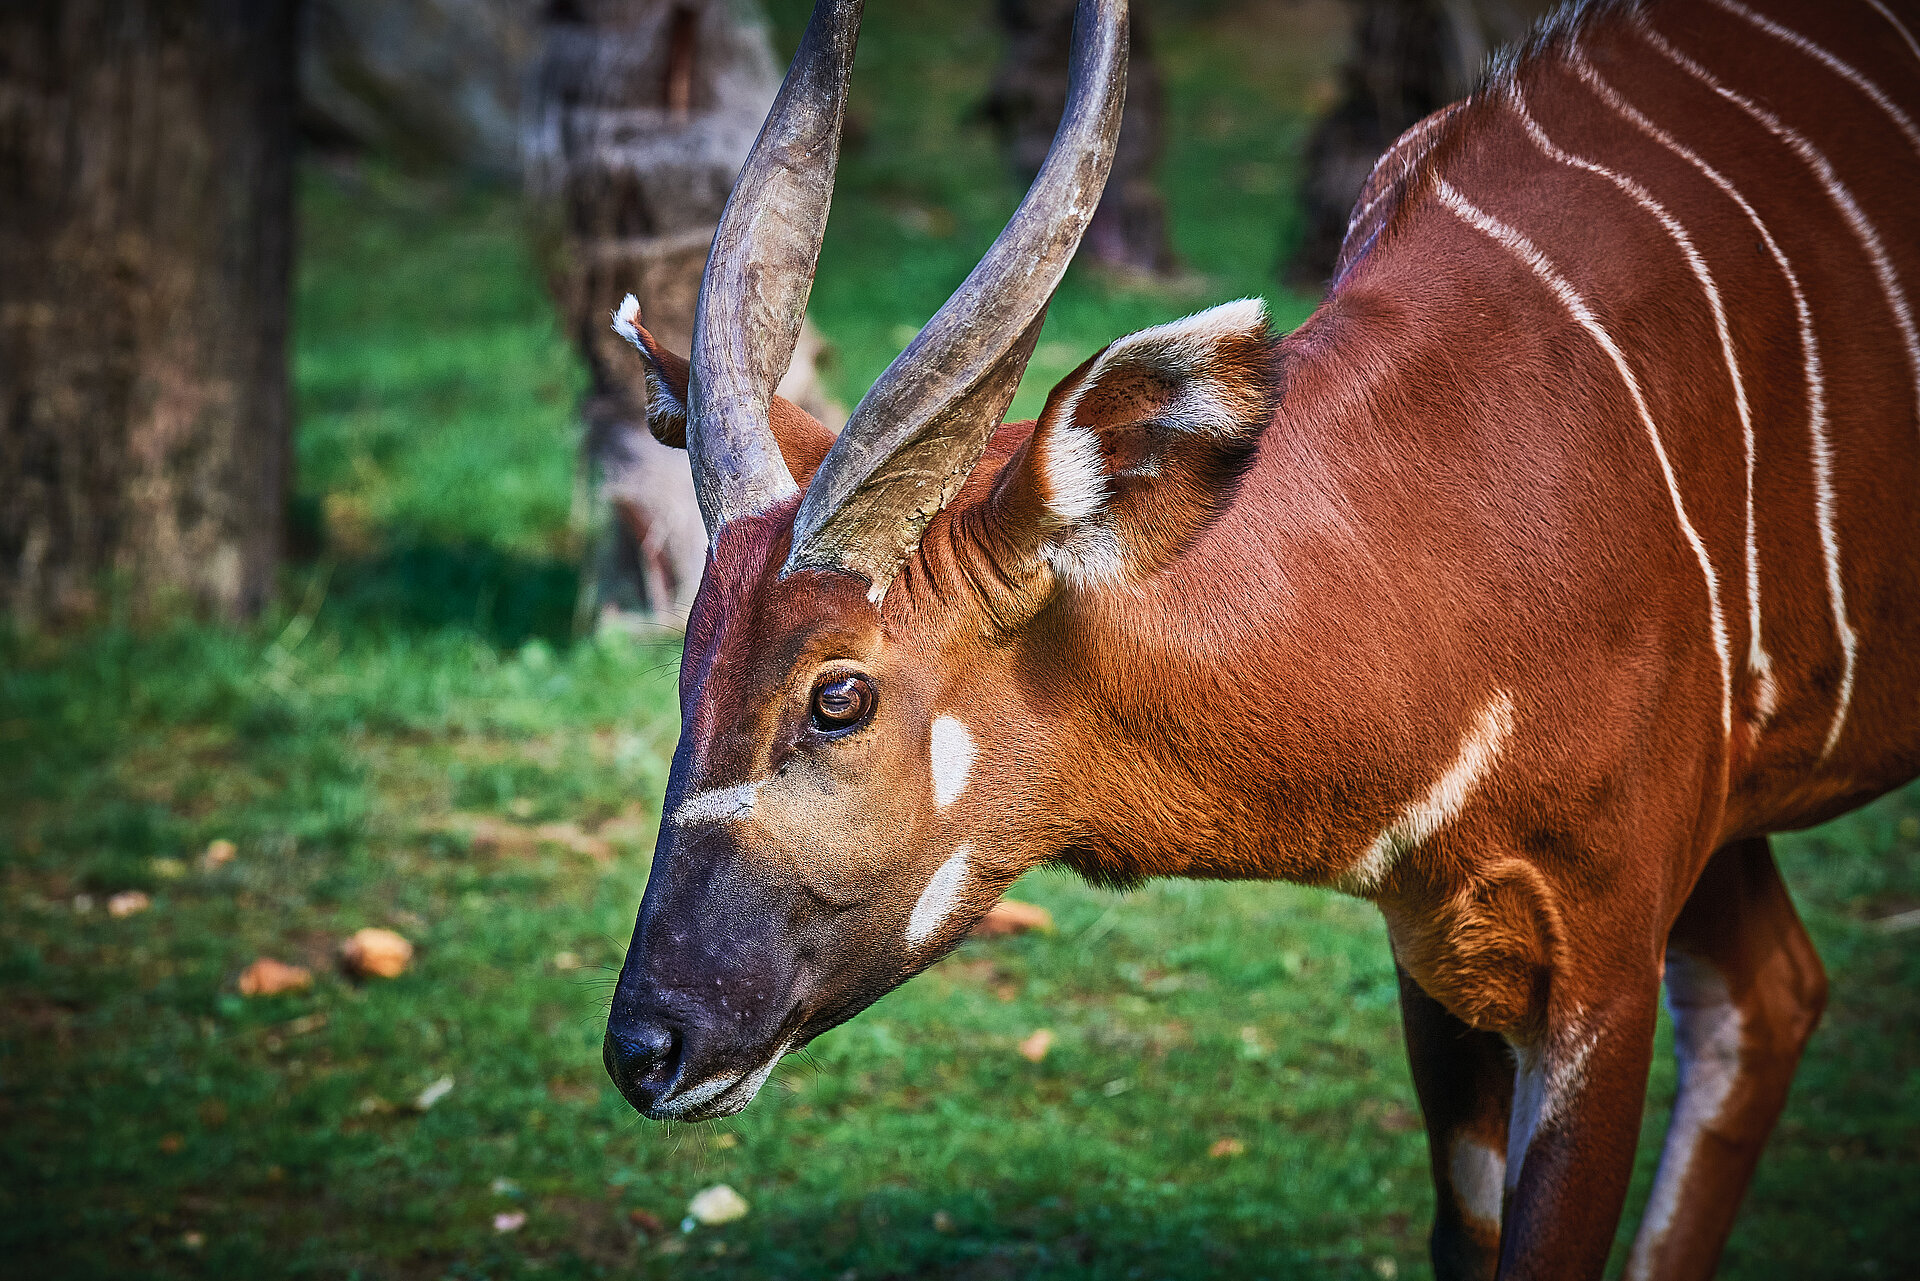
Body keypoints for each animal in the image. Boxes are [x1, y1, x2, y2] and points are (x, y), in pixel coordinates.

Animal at [602, 5, 1920, 1275]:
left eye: (840, 696)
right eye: (688, 674)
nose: (644, 1046)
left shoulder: (1602, 956)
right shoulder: (1441, 943)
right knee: (1773, 994)